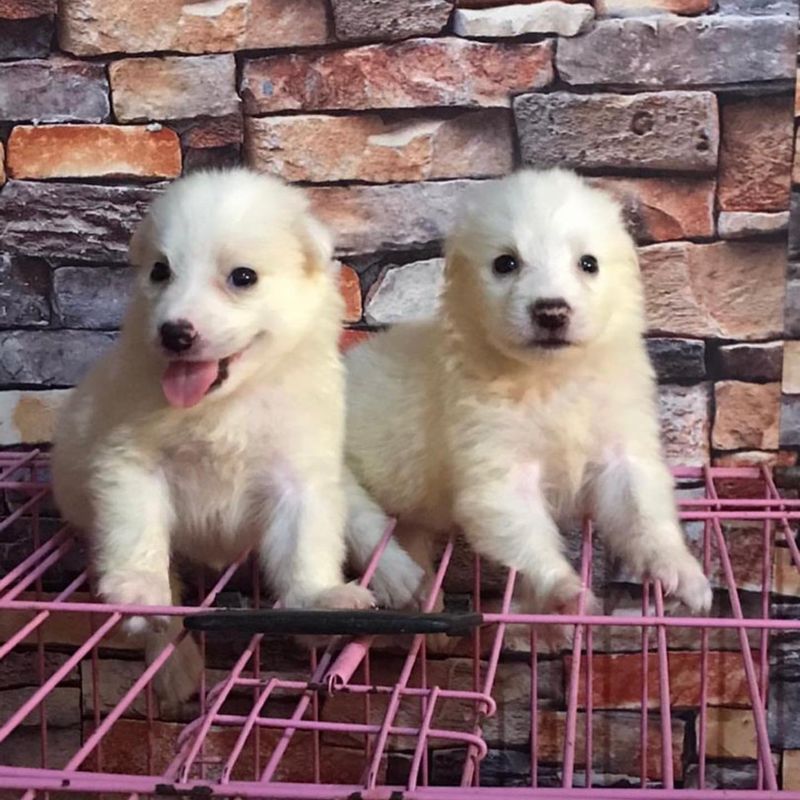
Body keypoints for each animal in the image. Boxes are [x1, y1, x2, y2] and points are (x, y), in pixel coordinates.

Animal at [52, 170, 376, 712]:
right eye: (160, 271)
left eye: (242, 277)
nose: (174, 334)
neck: (226, 403)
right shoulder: (130, 462)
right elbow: (138, 535)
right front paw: (138, 592)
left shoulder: (300, 474)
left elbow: (304, 545)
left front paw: (319, 600)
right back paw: (174, 667)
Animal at [346, 169, 708, 620]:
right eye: (506, 263)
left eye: (588, 263)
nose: (551, 312)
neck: (552, 378)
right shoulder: (496, 465)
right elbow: (526, 536)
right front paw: (569, 592)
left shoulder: (621, 450)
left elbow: (643, 513)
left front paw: (684, 575)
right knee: (362, 525)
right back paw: (398, 578)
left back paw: (423, 591)